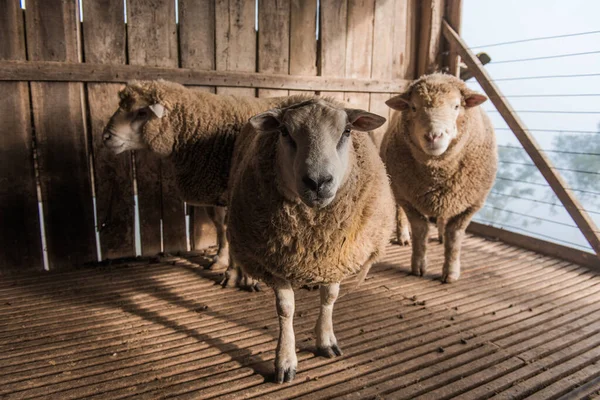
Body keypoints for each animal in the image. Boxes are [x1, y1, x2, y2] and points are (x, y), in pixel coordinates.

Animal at [225, 97, 394, 384]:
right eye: (284, 132)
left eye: (347, 131)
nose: (317, 182)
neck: (312, 238)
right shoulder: (275, 260)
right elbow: (286, 309)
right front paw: (285, 361)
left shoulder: (335, 256)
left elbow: (330, 297)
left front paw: (326, 340)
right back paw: (245, 278)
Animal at [380, 73, 496, 282]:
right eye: (413, 107)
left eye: (456, 106)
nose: (433, 136)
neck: (438, 172)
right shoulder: (407, 196)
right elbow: (420, 229)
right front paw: (418, 266)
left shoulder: (471, 204)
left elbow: (454, 235)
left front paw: (451, 272)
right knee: (399, 210)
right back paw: (403, 236)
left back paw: (441, 234)